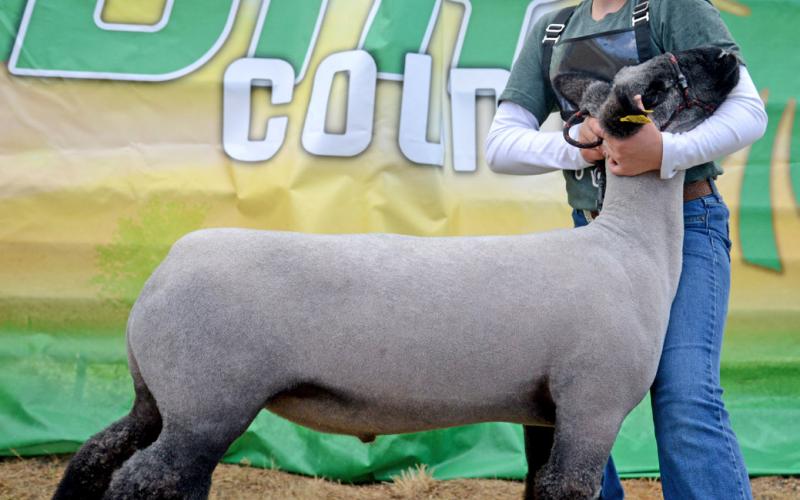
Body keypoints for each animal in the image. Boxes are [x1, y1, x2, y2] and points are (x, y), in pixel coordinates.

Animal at [52, 46, 740, 500]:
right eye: (666, 79)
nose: (728, 52)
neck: (630, 249)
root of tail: (169, 264)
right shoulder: (593, 406)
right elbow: (566, 490)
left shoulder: (545, 412)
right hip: (206, 402)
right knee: (147, 478)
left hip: (158, 394)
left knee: (95, 455)